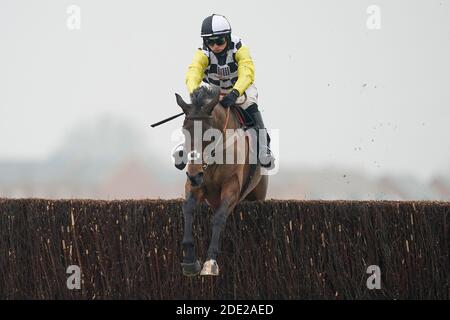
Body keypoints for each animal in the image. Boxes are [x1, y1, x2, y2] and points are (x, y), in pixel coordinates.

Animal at [175, 85, 268, 276]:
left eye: (210, 135)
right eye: (184, 131)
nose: (195, 175)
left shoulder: (232, 186)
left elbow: (218, 218)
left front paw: (210, 262)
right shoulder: (196, 185)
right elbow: (187, 209)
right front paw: (190, 260)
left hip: (257, 195)